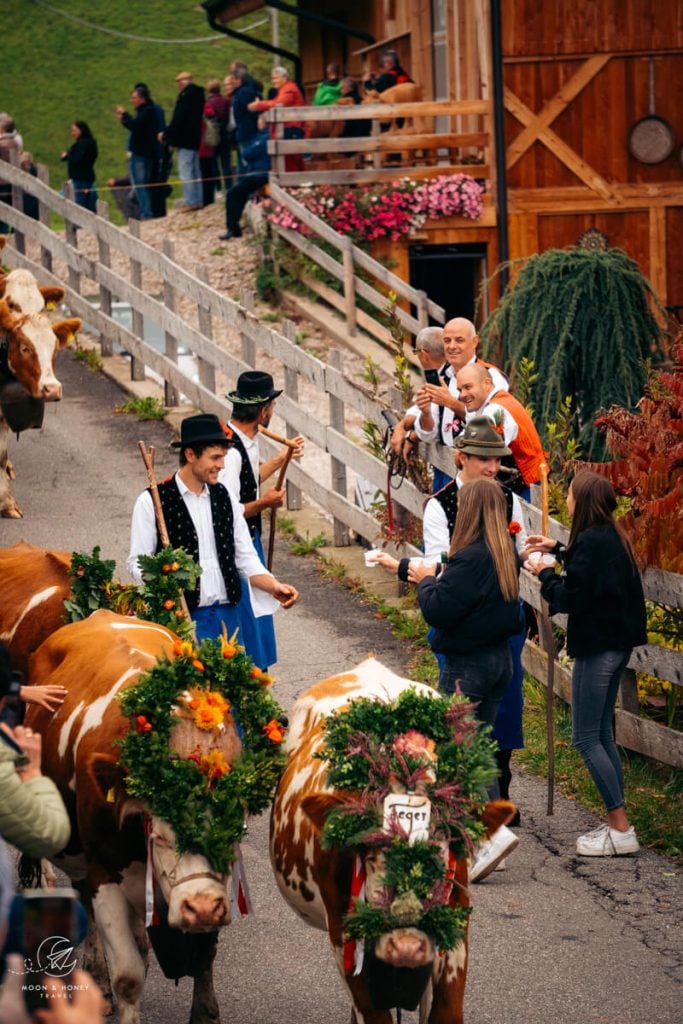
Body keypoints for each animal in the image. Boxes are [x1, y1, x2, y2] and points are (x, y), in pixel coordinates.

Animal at [26, 606, 286, 1024]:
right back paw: (96, 970)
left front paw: (205, 1011)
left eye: (234, 833)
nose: (200, 907)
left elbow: (202, 957)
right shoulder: (104, 873)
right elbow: (128, 976)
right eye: (161, 837)